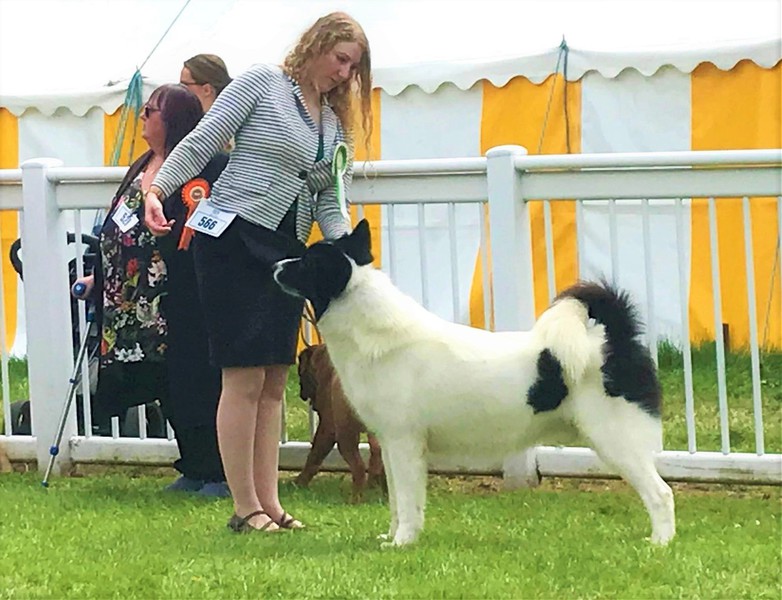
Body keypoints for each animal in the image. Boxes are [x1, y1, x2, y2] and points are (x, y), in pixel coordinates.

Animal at [296, 343, 385, 502]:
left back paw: (355, 499)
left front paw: (301, 482)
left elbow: (315, 455)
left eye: (301, 373)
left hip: (346, 437)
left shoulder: (327, 427)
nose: (301, 392)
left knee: (358, 467)